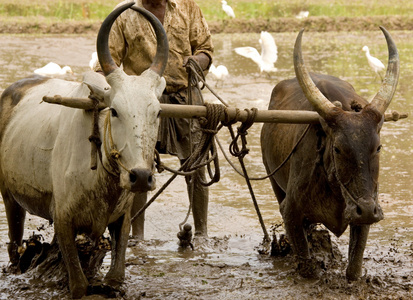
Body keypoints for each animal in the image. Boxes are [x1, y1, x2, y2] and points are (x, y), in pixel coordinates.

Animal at [0, 2, 167, 298]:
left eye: (158, 112)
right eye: (114, 110)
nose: (140, 177)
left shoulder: (122, 219)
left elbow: (116, 275)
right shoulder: (63, 219)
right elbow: (78, 285)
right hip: (9, 196)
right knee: (13, 242)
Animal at [260, 27, 400, 280]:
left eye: (378, 147)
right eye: (337, 148)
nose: (366, 209)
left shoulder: (366, 209)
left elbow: (354, 269)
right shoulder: (290, 211)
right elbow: (307, 268)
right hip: (274, 180)